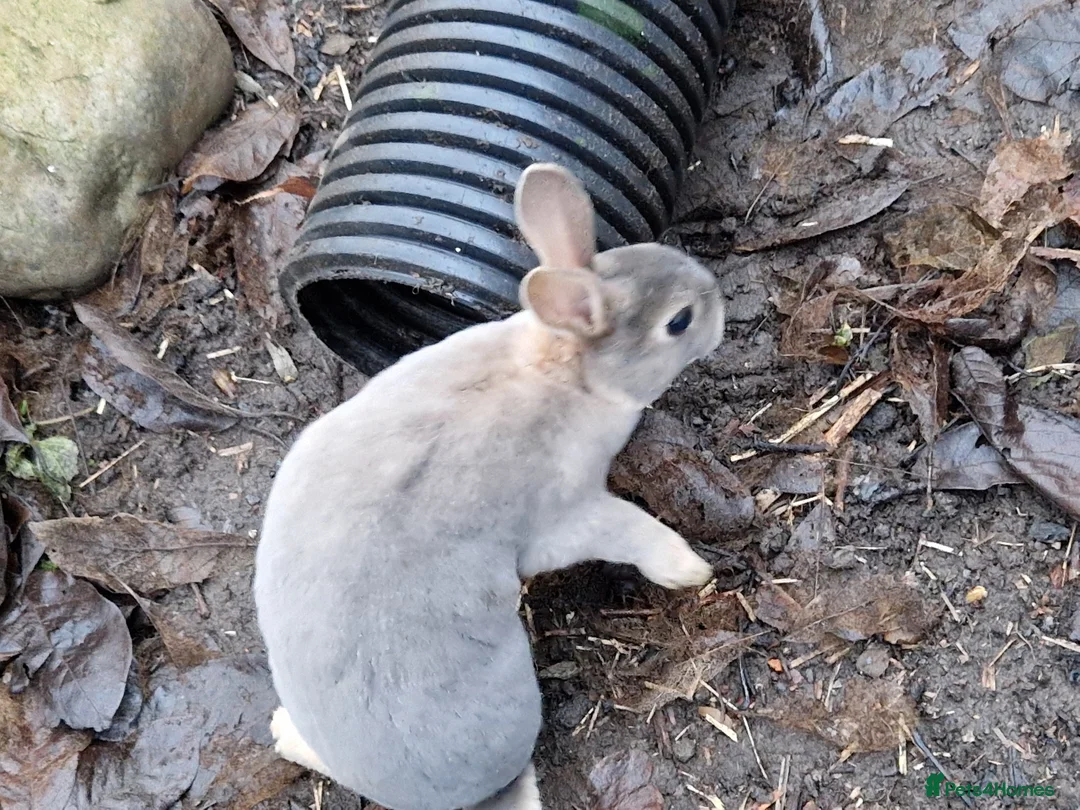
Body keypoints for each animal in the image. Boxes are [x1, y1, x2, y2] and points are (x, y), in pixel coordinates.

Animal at [253, 162, 726, 810]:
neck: (567, 369)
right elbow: (628, 530)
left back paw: (283, 732)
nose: (720, 302)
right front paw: (689, 570)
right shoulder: (569, 509)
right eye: (678, 322)